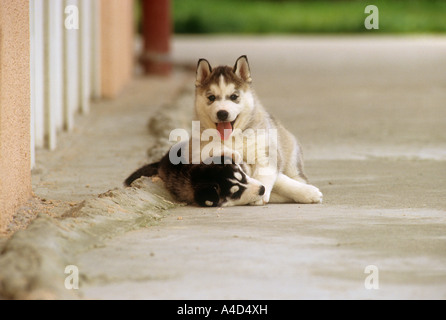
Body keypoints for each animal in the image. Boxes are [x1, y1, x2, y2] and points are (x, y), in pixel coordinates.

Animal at [193, 55, 322, 205]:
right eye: (211, 98)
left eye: (234, 97)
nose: (222, 113)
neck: (233, 138)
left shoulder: (265, 150)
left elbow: (269, 174)